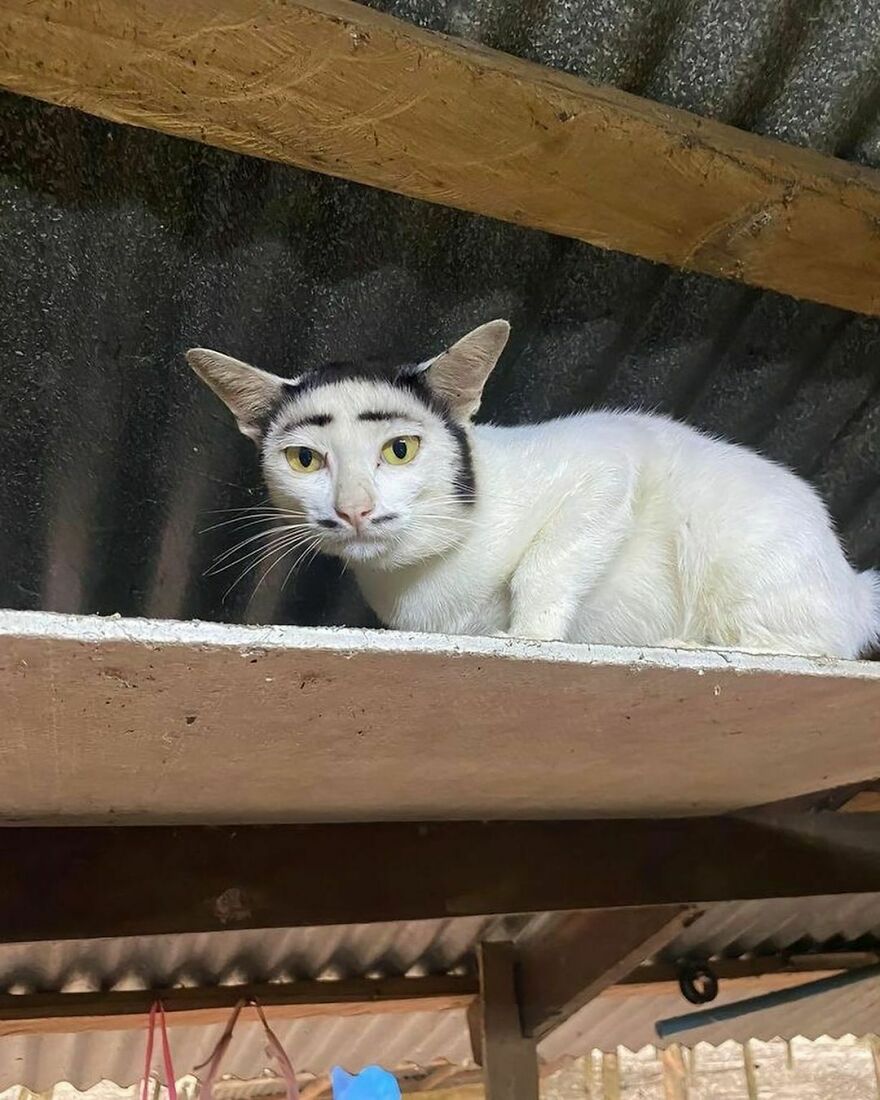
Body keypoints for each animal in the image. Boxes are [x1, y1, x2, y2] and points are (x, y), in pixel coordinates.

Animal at [187, 321, 880, 655]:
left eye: (400, 450)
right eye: (305, 460)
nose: (354, 508)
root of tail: (850, 581)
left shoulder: (609, 460)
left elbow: (542, 567)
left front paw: (529, 636)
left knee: (812, 646)